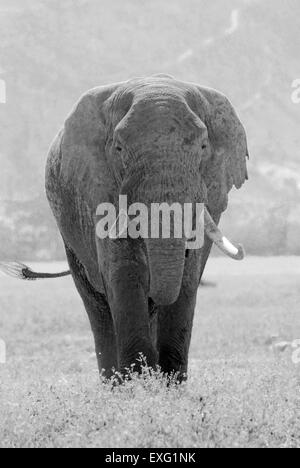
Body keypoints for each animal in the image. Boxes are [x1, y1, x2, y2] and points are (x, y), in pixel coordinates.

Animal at [0, 73, 248, 380]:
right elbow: (124, 269)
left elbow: (188, 275)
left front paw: (168, 385)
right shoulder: (99, 187)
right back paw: (115, 383)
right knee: (97, 306)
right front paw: (139, 384)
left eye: (203, 147)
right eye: (118, 149)